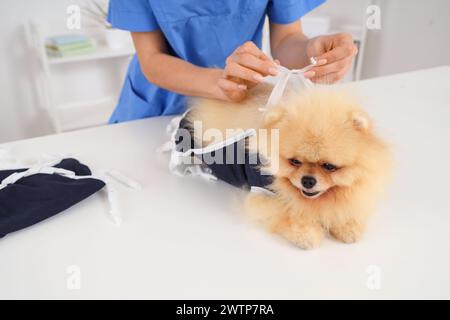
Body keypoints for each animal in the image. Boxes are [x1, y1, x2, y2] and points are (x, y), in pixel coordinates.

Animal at [186, 84, 390, 249]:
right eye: (294, 161)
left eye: (329, 166)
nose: (308, 180)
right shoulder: (263, 195)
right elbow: (290, 213)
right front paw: (307, 234)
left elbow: (341, 207)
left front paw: (347, 225)